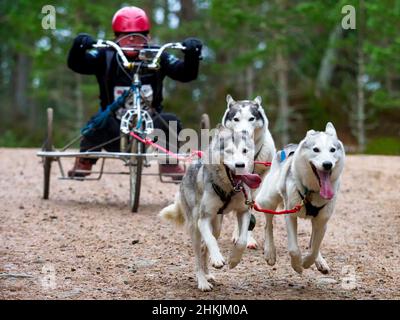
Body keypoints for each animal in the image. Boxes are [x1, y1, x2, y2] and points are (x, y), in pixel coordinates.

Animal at [159, 126, 262, 292]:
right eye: (229, 151)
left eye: (245, 151)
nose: (240, 165)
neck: (229, 190)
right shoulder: (204, 219)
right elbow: (211, 241)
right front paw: (218, 259)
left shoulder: (244, 212)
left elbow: (242, 240)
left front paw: (234, 260)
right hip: (195, 227)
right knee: (198, 254)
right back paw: (202, 281)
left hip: (217, 225)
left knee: (204, 249)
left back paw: (207, 274)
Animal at [256, 124, 344, 274]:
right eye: (316, 149)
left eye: (332, 149)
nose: (327, 164)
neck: (312, 191)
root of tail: (288, 147)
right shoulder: (290, 215)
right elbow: (293, 249)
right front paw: (297, 265)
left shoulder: (322, 221)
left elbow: (314, 248)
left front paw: (308, 262)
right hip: (269, 199)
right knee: (268, 225)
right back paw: (270, 252)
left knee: (313, 240)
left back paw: (319, 261)